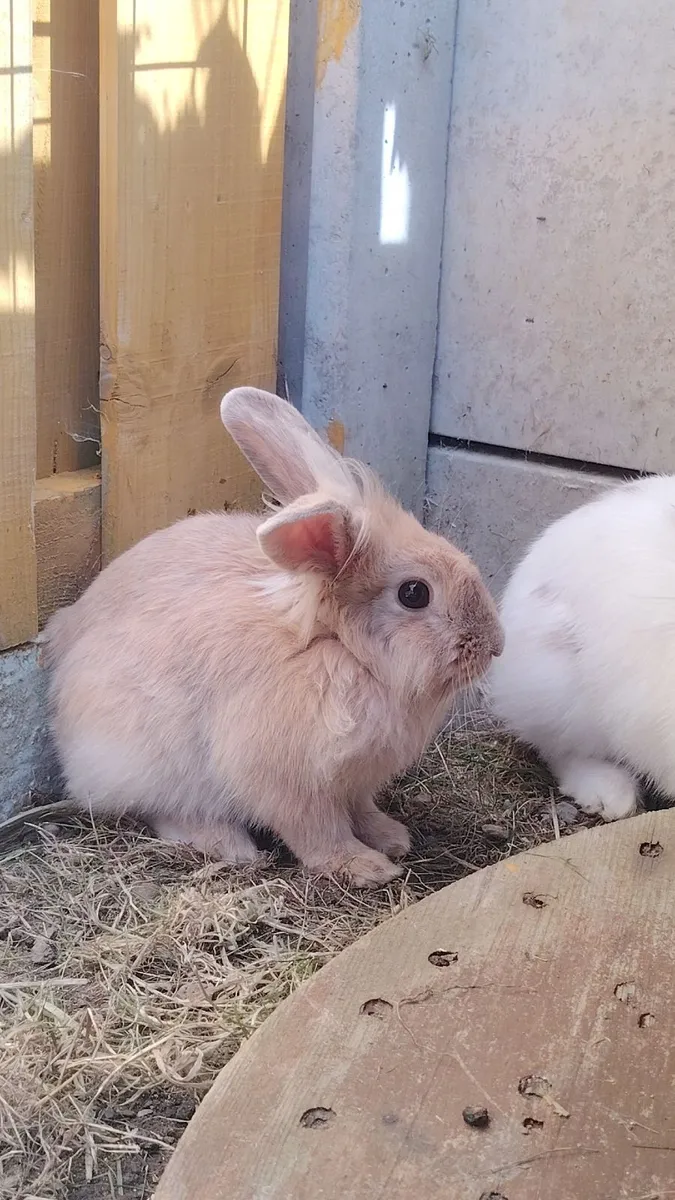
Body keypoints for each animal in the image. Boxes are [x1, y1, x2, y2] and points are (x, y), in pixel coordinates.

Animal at [44, 387, 503, 888]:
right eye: (414, 594)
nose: (495, 644)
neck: (341, 648)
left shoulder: (353, 781)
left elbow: (361, 810)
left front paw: (391, 837)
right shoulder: (286, 778)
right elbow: (317, 831)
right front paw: (366, 866)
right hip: (152, 763)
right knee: (165, 812)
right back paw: (231, 846)